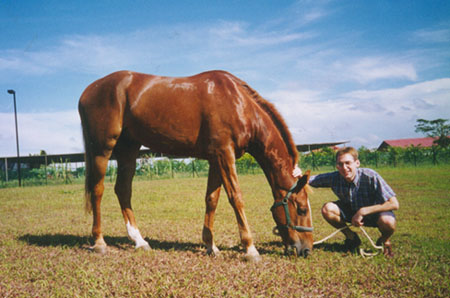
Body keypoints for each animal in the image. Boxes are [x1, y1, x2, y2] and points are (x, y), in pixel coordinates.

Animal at [78, 70, 312, 260]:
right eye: (301, 208)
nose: (307, 249)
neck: (238, 103)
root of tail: (88, 91)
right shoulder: (225, 154)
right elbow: (236, 198)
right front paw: (250, 249)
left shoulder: (216, 159)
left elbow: (212, 200)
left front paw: (211, 246)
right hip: (102, 150)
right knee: (98, 191)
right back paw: (99, 243)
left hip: (128, 149)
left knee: (123, 190)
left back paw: (139, 241)